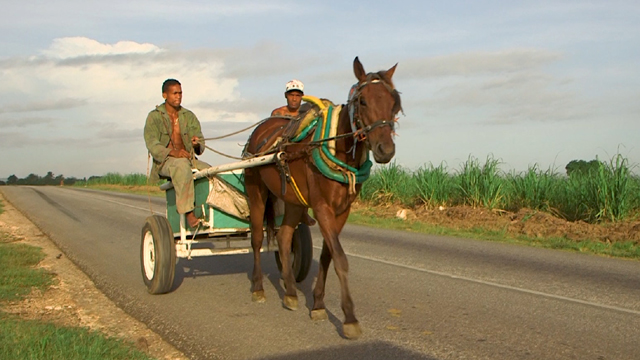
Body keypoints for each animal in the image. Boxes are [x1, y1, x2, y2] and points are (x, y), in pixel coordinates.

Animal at [242, 56, 402, 338]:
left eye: (394, 102)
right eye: (362, 101)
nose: (386, 149)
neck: (336, 148)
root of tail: (259, 132)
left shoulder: (342, 211)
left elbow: (328, 255)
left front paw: (317, 304)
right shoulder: (322, 207)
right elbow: (340, 258)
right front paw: (349, 317)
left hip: (293, 200)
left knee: (284, 237)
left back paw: (290, 292)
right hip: (256, 191)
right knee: (258, 237)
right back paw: (259, 287)